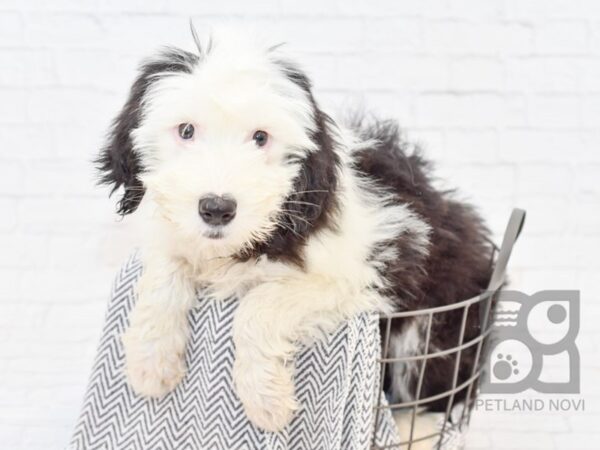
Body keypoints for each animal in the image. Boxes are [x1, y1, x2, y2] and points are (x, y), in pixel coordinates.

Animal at [97, 27, 492, 432]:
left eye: (260, 137)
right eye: (186, 130)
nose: (217, 209)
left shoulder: (356, 276)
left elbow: (259, 304)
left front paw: (265, 399)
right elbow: (164, 267)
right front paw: (150, 363)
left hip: (432, 326)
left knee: (438, 392)